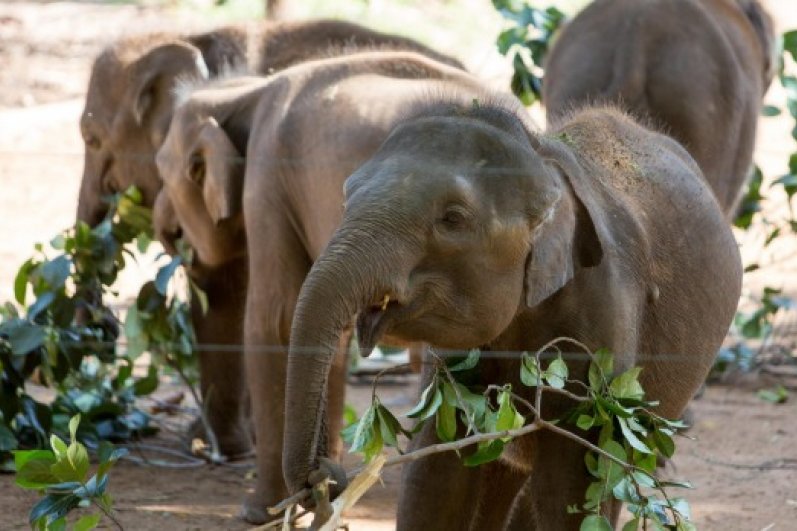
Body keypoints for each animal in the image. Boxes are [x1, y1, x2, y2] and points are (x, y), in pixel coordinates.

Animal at [151, 51, 480, 523]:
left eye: (163, 169)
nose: (161, 223)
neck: (245, 92)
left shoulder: (269, 174)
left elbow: (278, 317)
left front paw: (260, 513)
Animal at [283, 98, 743, 529]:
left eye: (453, 218)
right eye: (347, 195)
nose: (324, 478)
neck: (542, 161)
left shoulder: (603, 322)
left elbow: (577, 482)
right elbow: (436, 475)